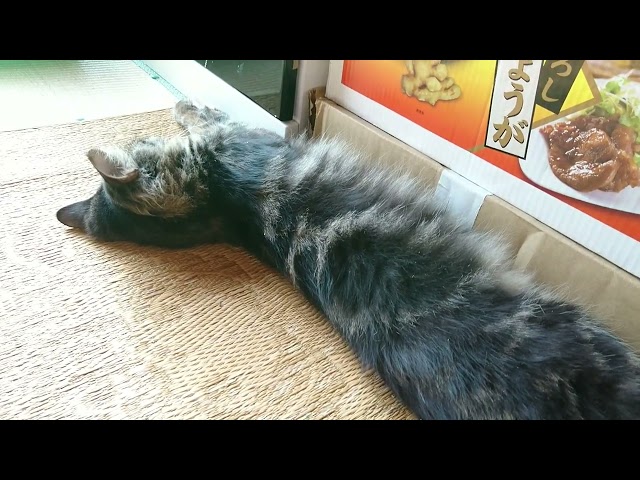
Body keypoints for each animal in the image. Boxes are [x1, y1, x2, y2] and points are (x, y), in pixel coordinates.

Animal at [56, 99, 640, 419]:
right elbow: (204, 112)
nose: (140, 133)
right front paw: (185, 108)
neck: (225, 204)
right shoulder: (241, 133)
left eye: (139, 138)